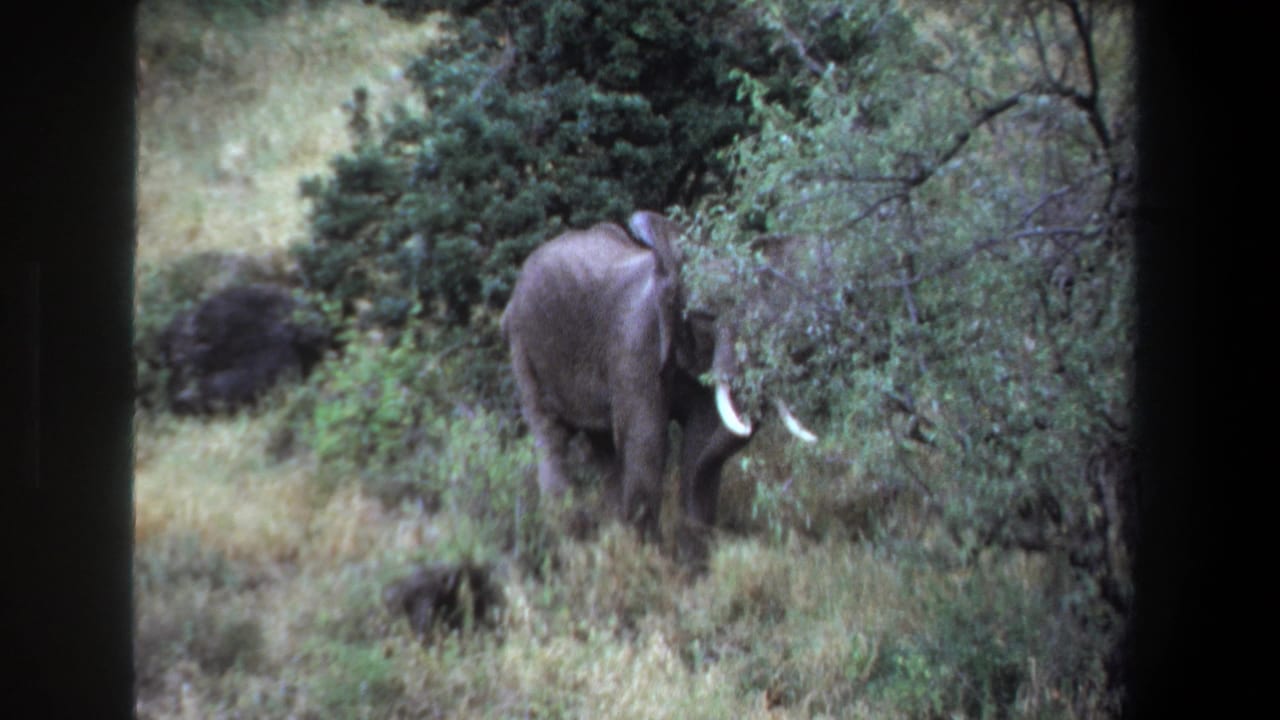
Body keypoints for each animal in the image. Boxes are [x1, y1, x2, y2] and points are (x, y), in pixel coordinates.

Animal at [501, 210, 816, 548]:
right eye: (707, 317)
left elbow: (700, 438)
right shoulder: (636, 340)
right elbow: (647, 441)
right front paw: (646, 555)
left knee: (604, 446)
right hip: (524, 347)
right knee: (550, 434)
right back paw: (569, 536)